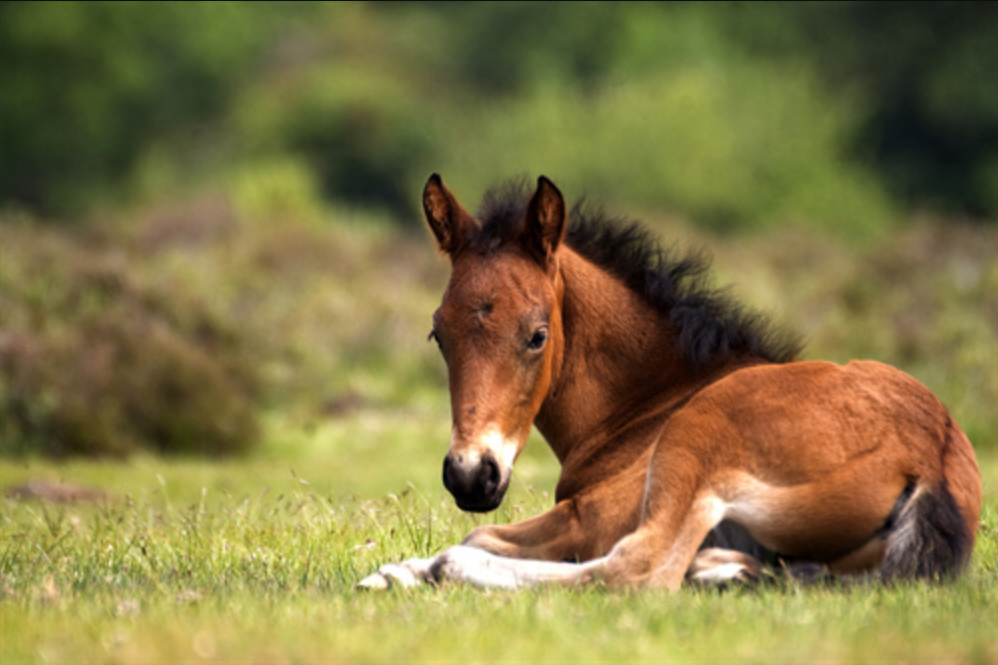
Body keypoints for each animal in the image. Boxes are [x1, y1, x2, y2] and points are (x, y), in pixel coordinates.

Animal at [362, 174, 984, 588]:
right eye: (438, 335)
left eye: (537, 335)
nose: (471, 475)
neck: (651, 401)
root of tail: (930, 459)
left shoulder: (590, 517)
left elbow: (480, 536)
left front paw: (409, 569)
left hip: (692, 448)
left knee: (637, 571)